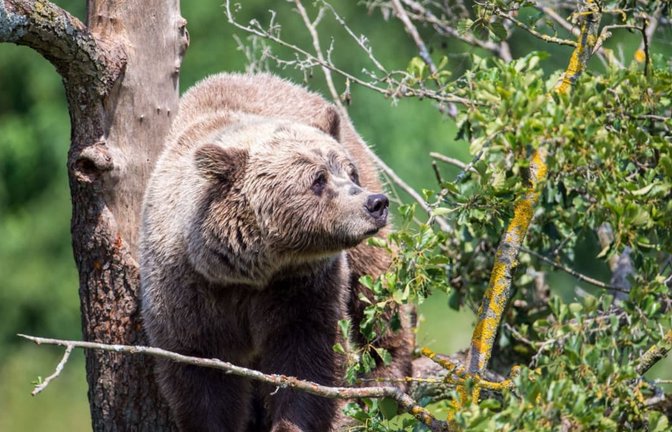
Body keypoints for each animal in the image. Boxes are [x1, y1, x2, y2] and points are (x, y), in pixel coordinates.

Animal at [140, 73, 414, 432]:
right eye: (318, 179)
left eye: (348, 171)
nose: (375, 203)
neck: (250, 270)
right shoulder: (187, 293)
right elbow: (200, 375)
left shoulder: (301, 288)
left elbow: (308, 360)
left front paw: (290, 422)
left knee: (376, 290)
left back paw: (388, 378)